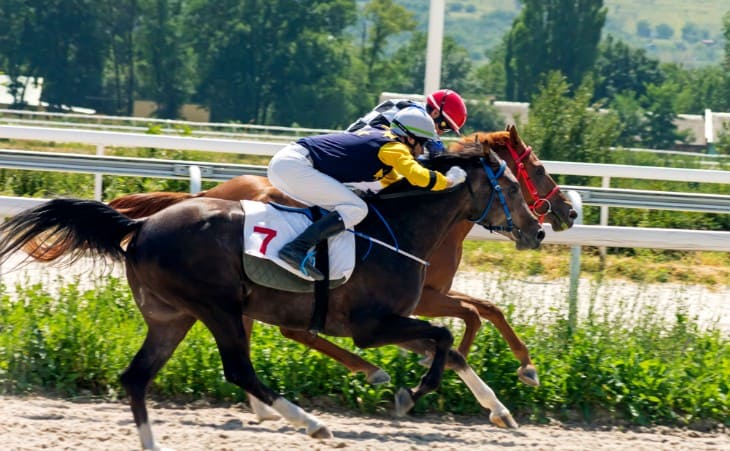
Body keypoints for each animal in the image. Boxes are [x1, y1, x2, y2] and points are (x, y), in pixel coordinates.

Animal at [0, 146, 544, 448]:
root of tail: (141, 225)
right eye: (514, 185)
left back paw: (157, 445)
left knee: (137, 377)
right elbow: (445, 338)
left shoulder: (394, 320)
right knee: (239, 369)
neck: (402, 228)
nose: (539, 230)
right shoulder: (371, 326)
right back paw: (313, 424)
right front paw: (411, 393)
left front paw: (500, 410)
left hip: (172, 317)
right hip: (216, 308)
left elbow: (449, 347)